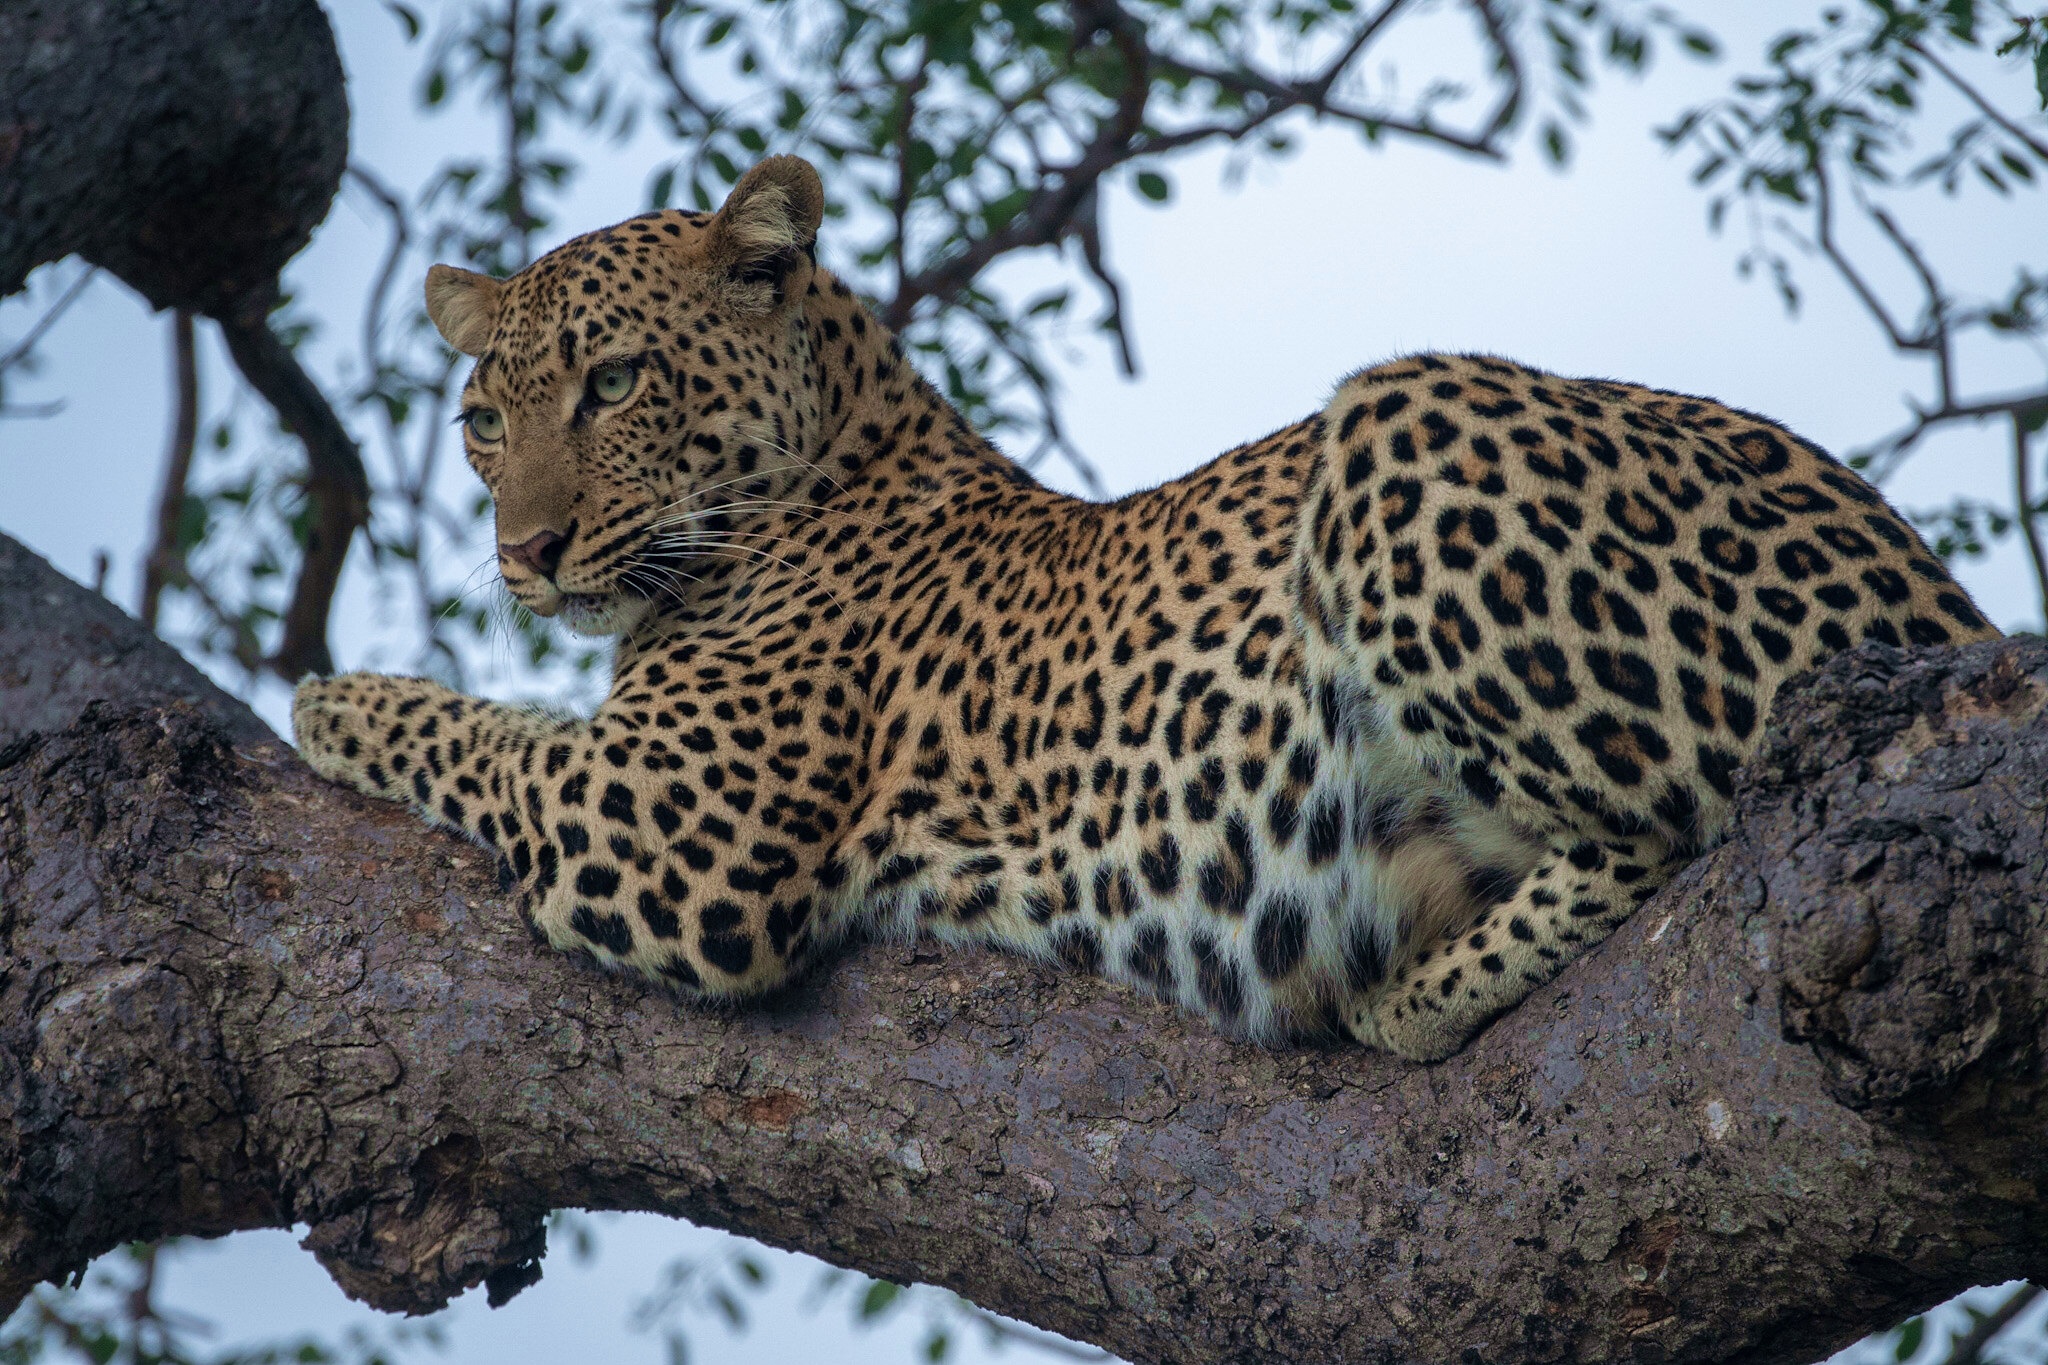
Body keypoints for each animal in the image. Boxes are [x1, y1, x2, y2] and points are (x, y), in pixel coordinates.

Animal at [292, 154, 1998, 1064]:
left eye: (617, 382)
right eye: (481, 422)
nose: (526, 554)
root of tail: (1943, 598)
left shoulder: (671, 836)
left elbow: (485, 737)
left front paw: (323, 698)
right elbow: (502, 727)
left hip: (1397, 415)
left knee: (1675, 821)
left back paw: (1404, 990)